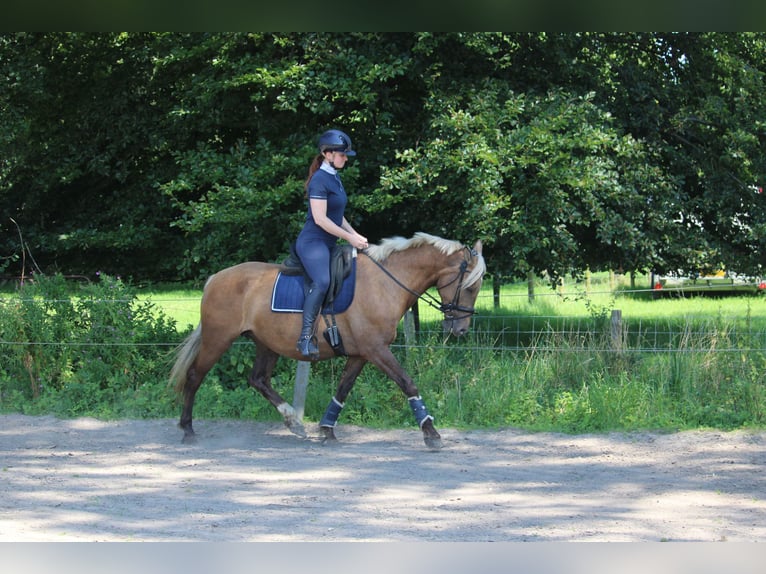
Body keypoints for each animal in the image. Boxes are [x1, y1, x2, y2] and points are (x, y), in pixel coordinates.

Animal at [172, 232, 488, 452]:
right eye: (470, 285)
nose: (460, 330)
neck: (386, 283)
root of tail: (215, 278)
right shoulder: (377, 350)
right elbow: (408, 383)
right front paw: (431, 432)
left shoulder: (361, 353)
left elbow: (343, 389)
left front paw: (326, 429)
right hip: (218, 339)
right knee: (195, 376)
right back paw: (187, 429)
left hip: (266, 343)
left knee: (258, 379)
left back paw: (293, 421)